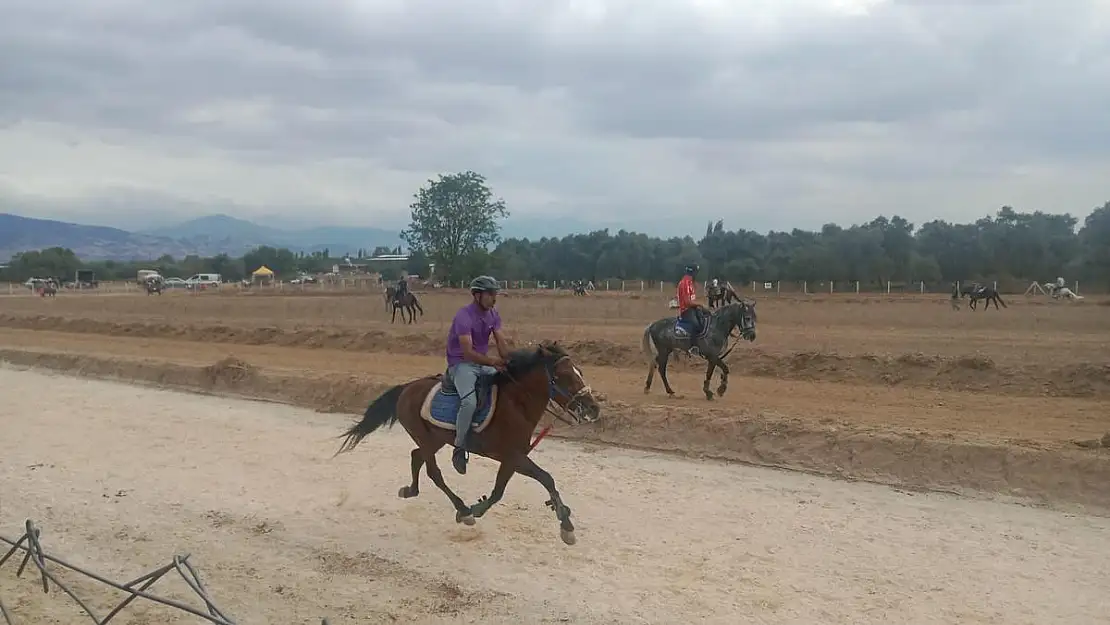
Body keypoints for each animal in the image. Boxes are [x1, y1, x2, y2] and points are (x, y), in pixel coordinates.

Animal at [333, 341, 603, 548]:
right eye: (563, 376)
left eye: (579, 371)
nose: (593, 408)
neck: (516, 404)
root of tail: (407, 388)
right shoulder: (513, 455)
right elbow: (545, 478)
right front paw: (566, 525)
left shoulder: (511, 458)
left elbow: (500, 490)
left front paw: (480, 506)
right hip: (426, 438)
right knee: (433, 471)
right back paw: (462, 509)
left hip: (435, 439)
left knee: (416, 456)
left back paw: (411, 490)